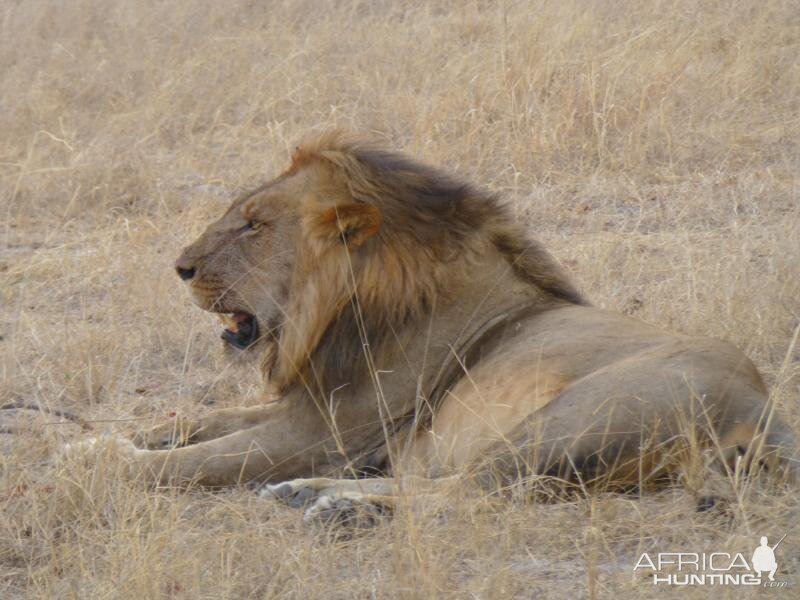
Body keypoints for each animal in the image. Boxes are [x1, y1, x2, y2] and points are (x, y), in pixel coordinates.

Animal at [65, 131, 796, 520]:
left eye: (253, 225)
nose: (181, 267)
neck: (343, 313)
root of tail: (763, 410)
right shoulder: (313, 407)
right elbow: (200, 420)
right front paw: (103, 439)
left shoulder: (326, 436)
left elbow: (194, 462)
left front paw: (103, 464)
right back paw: (314, 498)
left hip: (575, 418)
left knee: (476, 490)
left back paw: (333, 503)